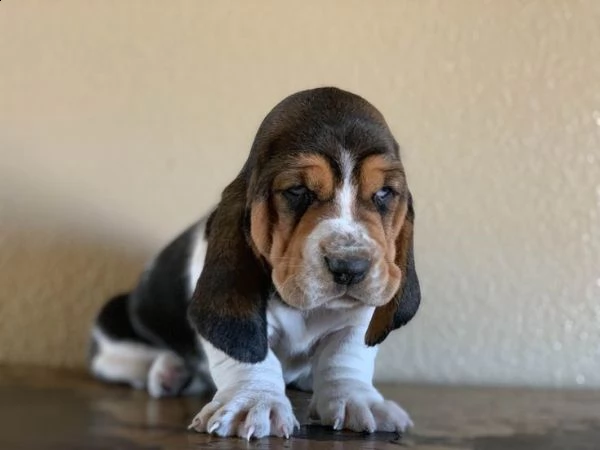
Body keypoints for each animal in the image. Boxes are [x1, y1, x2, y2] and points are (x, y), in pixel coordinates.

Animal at [89, 86, 422, 438]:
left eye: (384, 193)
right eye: (297, 190)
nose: (349, 267)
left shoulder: (355, 319)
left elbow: (345, 356)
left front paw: (359, 400)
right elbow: (253, 354)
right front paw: (253, 402)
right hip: (114, 327)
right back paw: (170, 371)